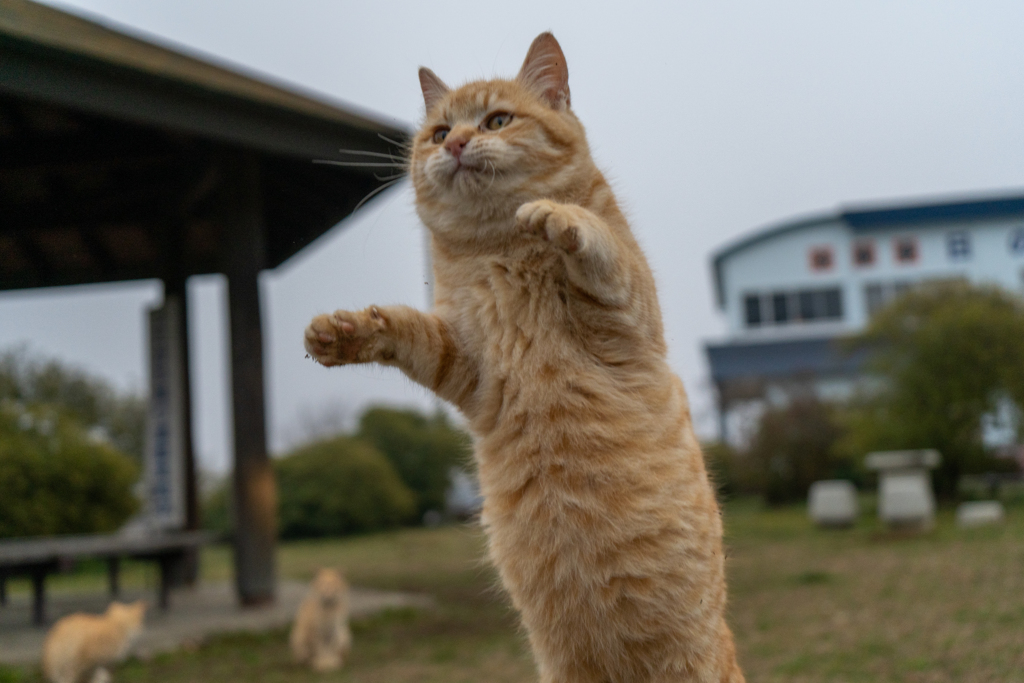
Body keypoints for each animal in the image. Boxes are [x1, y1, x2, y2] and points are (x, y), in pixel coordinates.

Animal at [303, 33, 745, 683]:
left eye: (496, 120)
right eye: (439, 132)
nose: (457, 144)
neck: (497, 249)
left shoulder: (628, 314)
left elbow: (601, 249)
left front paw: (555, 215)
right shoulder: (462, 361)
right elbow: (405, 328)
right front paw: (342, 332)